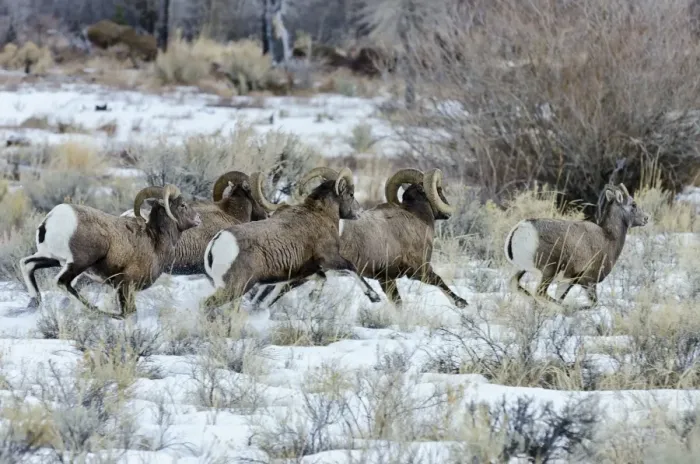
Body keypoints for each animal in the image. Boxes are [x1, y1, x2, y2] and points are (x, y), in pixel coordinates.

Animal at [19, 185, 202, 318]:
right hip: (79, 263)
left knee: (27, 264)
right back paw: (96, 310)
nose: (198, 219)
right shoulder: (126, 286)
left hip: (54, 258)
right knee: (62, 282)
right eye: (183, 205)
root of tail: (50, 220)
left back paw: (35, 302)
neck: (155, 240)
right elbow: (129, 313)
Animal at [202, 167, 381, 310]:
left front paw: (312, 297)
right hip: (234, 289)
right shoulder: (330, 258)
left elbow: (319, 279)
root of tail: (216, 244)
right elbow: (351, 267)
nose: (359, 212)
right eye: (351, 194)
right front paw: (374, 297)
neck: (320, 214)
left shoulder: (303, 272)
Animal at [254, 167, 469, 308]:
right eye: (439, 190)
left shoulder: (387, 280)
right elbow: (440, 283)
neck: (415, 219)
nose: (447, 214)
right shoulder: (419, 270)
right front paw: (462, 303)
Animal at [504, 183, 649, 307]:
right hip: (547, 272)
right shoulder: (588, 282)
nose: (646, 218)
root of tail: (522, 228)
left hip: (519, 269)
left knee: (516, 286)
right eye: (633, 204)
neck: (608, 238)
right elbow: (593, 305)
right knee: (540, 293)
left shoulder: (566, 282)